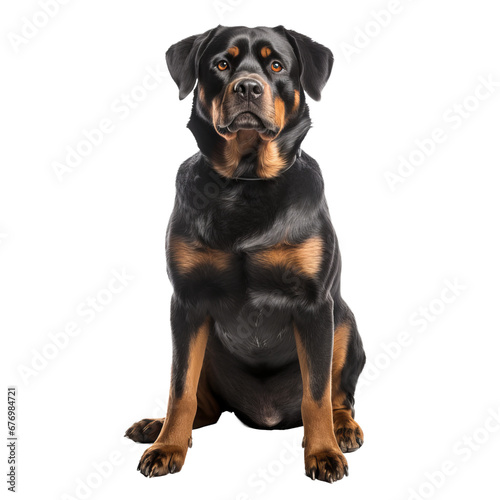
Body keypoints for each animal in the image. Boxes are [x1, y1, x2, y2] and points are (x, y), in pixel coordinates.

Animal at [125, 24, 368, 484]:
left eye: (276, 65)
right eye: (222, 64)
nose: (249, 87)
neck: (245, 182)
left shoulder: (314, 304)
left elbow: (316, 393)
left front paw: (323, 452)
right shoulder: (187, 302)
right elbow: (180, 388)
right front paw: (167, 447)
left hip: (343, 323)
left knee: (338, 395)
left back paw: (344, 429)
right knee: (200, 403)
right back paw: (156, 427)